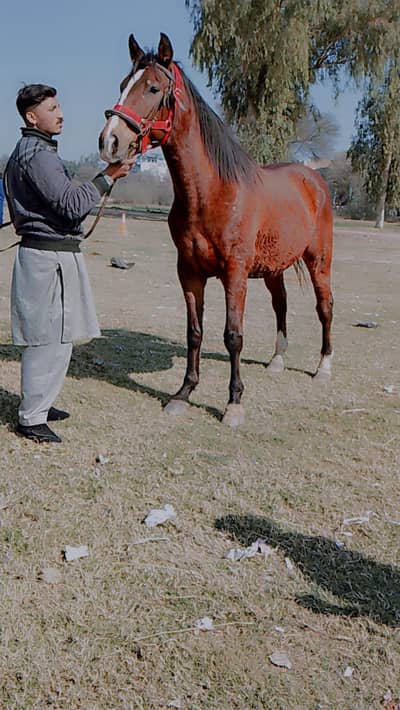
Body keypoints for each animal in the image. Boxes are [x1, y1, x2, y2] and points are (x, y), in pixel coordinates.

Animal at [99, 33, 334, 427]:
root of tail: (313, 178)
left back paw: (323, 367)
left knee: (324, 307)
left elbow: (233, 336)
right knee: (281, 304)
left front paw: (234, 403)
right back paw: (277, 360)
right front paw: (183, 393)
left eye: (153, 87)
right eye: (121, 85)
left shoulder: (234, 273)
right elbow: (194, 333)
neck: (211, 192)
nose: (110, 142)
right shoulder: (189, 272)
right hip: (273, 269)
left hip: (319, 261)